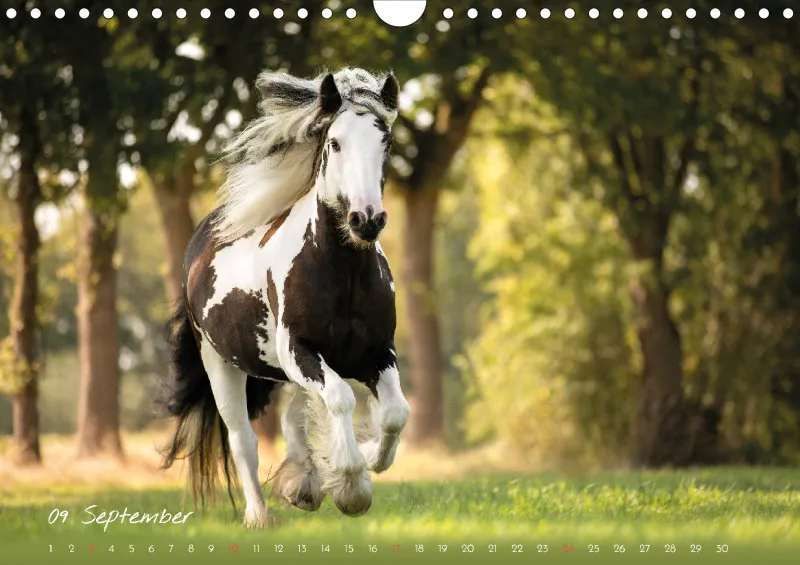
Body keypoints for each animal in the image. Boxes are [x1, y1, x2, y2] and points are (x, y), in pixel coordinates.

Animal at [159, 67, 411, 528]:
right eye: (335, 143)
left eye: (384, 141)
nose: (366, 219)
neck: (342, 273)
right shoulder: (299, 349)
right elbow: (340, 399)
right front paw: (351, 485)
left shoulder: (377, 352)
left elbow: (394, 413)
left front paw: (362, 460)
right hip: (220, 364)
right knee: (243, 440)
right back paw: (260, 515)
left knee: (295, 417)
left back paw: (302, 485)